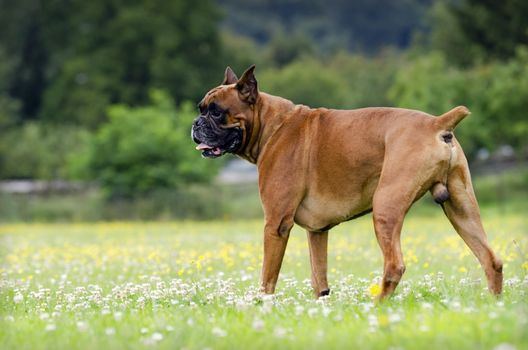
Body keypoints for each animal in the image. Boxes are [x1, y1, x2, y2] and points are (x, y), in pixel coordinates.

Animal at [191, 65, 504, 298]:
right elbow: (319, 279)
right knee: (491, 260)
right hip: (462, 209)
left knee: (394, 266)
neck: (271, 125)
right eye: (200, 108)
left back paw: (377, 306)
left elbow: (268, 277)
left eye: (216, 111)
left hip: (386, 207)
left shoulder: (276, 224)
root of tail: (436, 123)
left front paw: (261, 305)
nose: (196, 124)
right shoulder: (317, 232)